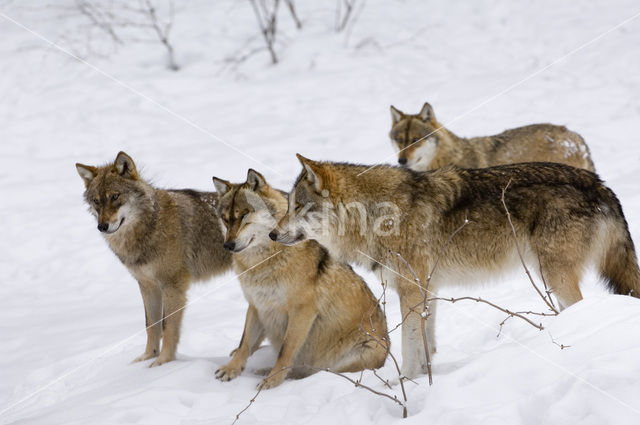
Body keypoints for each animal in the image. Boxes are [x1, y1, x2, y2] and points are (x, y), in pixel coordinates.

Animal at [212, 168, 388, 388]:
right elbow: (244, 343)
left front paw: (272, 382)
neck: (263, 262)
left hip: (354, 355)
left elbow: (285, 351)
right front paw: (231, 369)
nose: (228, 245)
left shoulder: (301, 311)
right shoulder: (256, 305)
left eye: (244, 215)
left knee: (316, 373)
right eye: (225, 219)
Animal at [270, 155, 640, 378]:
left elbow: (409, 349)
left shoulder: (411, 290)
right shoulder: (428, 289)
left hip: (555, 275)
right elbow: (427, 346)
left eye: (298, 206)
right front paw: (425, 383)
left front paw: (408, 385)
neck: (376, 215)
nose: (272, 234)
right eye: (288, 205)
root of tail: (600, 184)